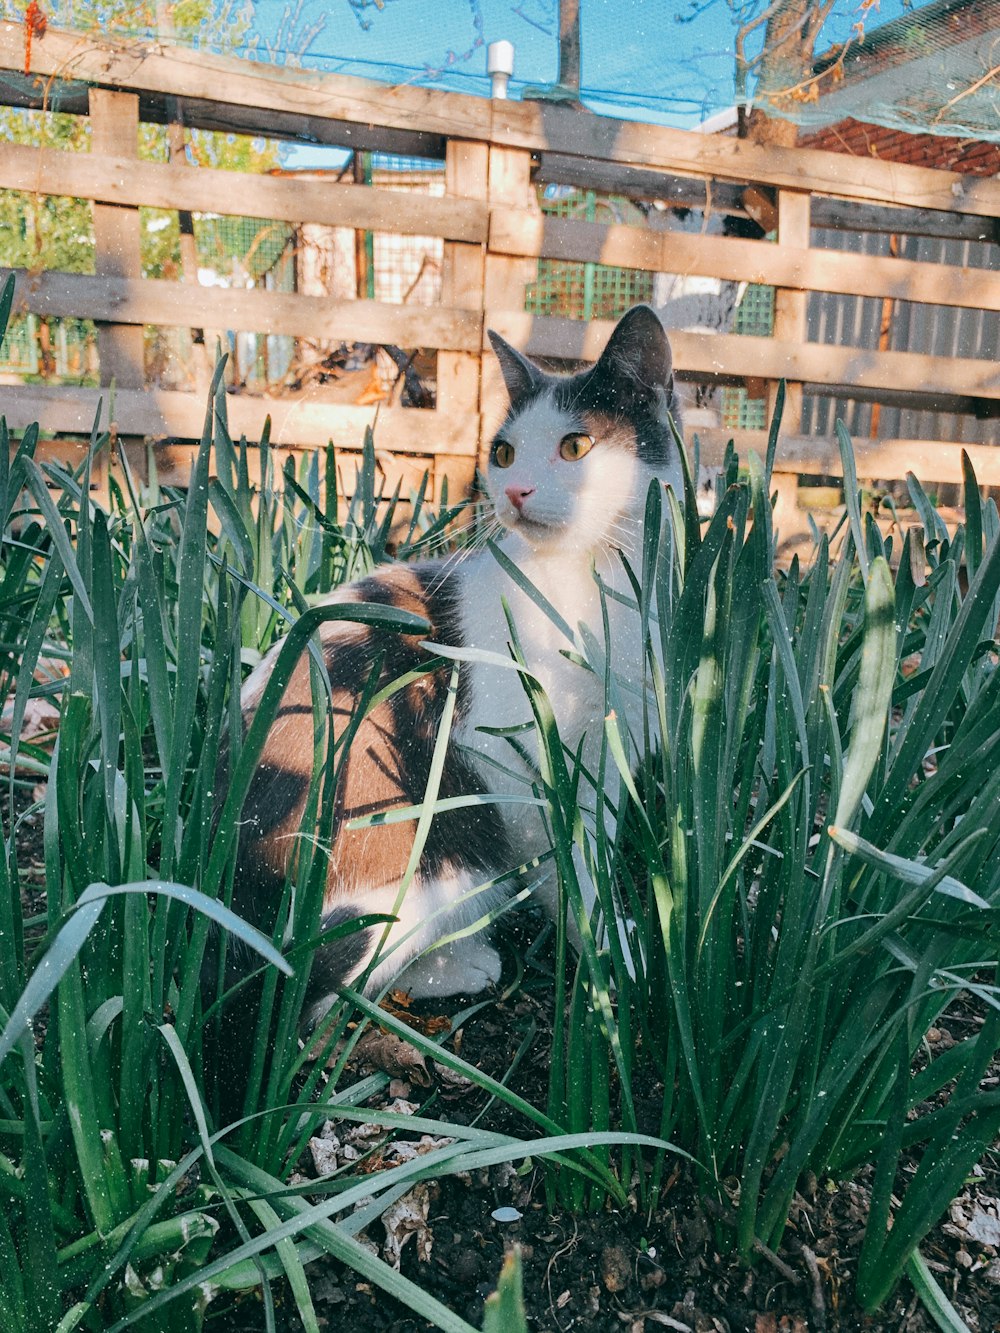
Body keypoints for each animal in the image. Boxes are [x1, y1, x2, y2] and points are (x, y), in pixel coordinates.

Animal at [226, 302, 682, 1007]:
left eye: (575, 446)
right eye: (504, 451)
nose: (515, 491)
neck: (593, 587)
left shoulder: (611, 750)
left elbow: (593, 847)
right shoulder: (506, 750)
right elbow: (563, 857)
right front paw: (602, 950)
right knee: (328, 993)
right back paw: (459, 967)